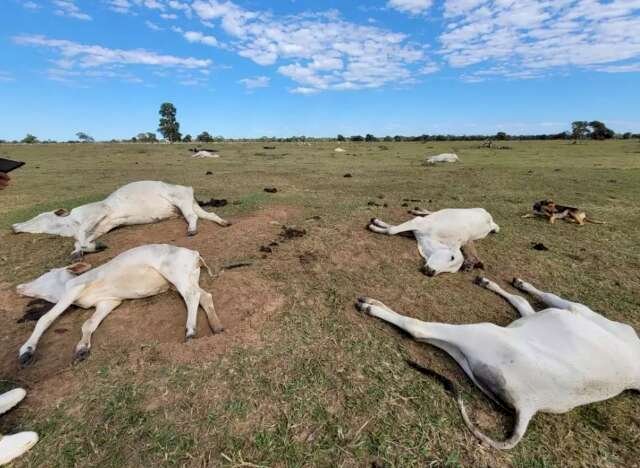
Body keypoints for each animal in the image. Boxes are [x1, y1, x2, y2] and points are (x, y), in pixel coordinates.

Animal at [12, 180, 231, 260]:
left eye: (39, 217)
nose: (14, 226)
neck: (71, 222)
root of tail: (187, 188)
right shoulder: (102, 226)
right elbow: (83, 240)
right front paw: (87, 248)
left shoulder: (99, 211)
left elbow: (81, 235)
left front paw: (81, 250)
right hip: (188, 204)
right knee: (208, 215)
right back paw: (223, 222)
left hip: (182, 201)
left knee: (192, 217)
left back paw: (192, 230)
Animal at [15, 245, 225, 366]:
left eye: (46, 273)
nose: (19, 287)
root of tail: (194, 254)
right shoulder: (108, 302)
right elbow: (88, 324)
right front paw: (82, 348)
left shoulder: (74, 289)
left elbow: (45, 318)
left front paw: (26, 350)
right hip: (188, 278)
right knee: (205, 296)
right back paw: (216, 326)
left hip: (176, 274)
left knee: (192, 296)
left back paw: (191, 330)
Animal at [356, 278, 640, 450]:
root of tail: (530, 405)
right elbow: (523, 302)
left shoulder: (575, 309)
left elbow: (541, 297)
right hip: (470, 356)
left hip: (483, 333)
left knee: (418, 329)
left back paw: (371, 306)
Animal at [370, 207, 500, 276]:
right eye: (452, 257)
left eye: (451, 271)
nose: (431, 272)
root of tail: (490, 220)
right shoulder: (418, 222)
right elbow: (392, 230)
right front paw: (374, 225)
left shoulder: (414, 231)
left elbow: (392, 228)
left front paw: (376, 223)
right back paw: (417, 210)